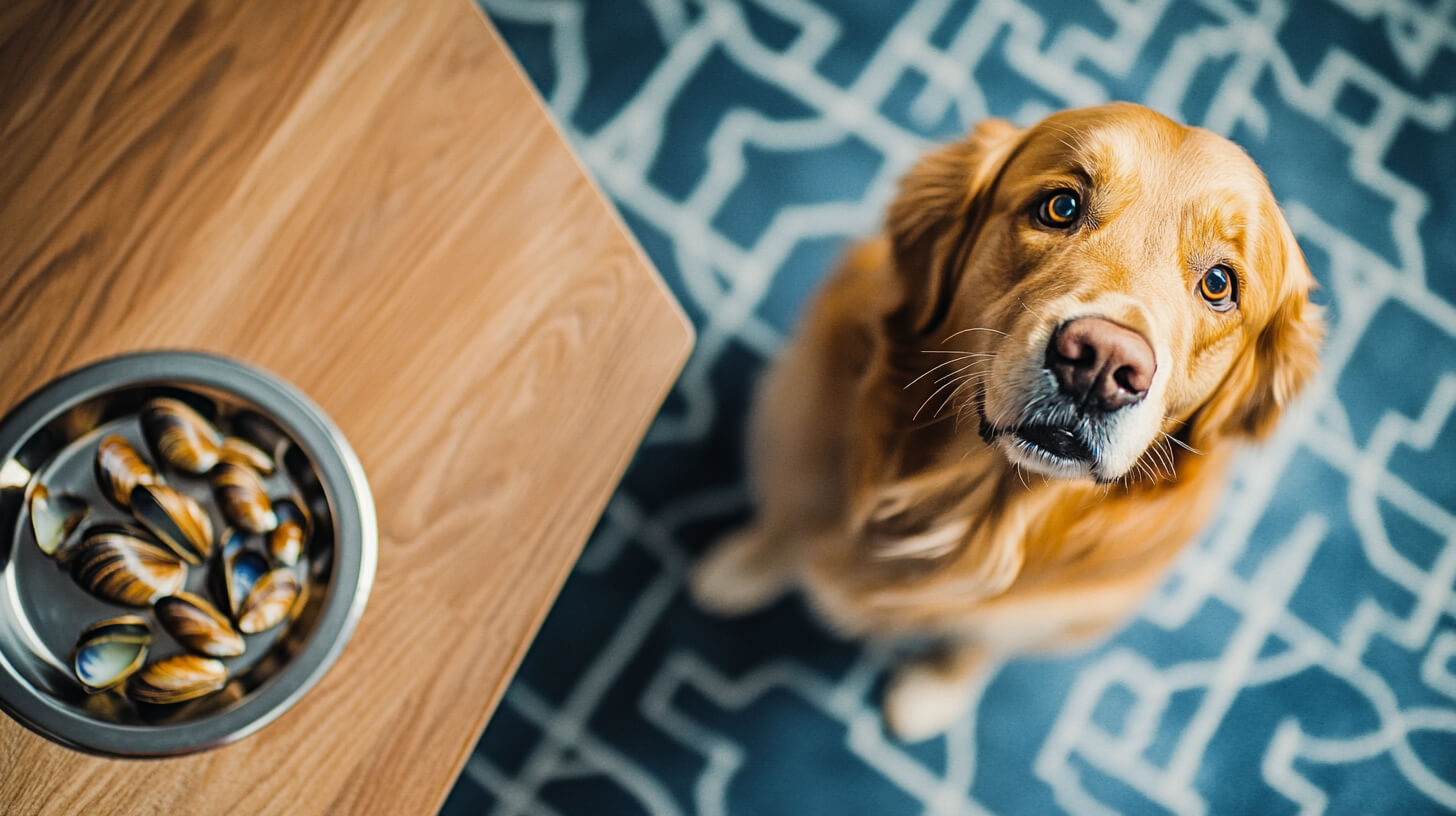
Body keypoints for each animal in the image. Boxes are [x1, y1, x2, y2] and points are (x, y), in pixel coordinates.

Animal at [687, 102, 1327, 740]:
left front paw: (934, 692)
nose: (1102, 363)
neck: (966, 509)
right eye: (1060, 207)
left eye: (1219, 284)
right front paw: (744, 567)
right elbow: (788, 522)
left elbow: (979, 641)